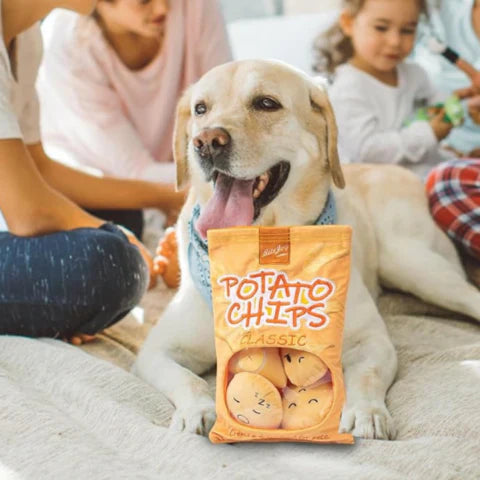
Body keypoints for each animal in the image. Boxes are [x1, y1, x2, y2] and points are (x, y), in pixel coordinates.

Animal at [134, 59, 480, 438]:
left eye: (266, 103)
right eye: (200, 109)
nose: (206, 141)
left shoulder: (372, 341)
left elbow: (366, 376)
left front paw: (366, 412)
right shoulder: (156, 350)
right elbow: (189, 380)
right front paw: (198, 410)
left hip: (413, 264)